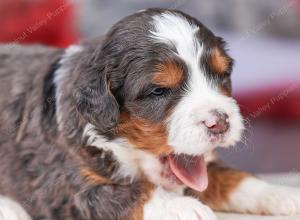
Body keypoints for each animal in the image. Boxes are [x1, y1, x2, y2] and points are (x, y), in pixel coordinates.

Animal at [0, 7, 300, 219]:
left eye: (222, 75)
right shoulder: (64, 183)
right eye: (159, 91)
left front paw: (284, 194)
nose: (220, 123)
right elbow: (128, 192)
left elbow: (234, 178)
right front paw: (183, 207)